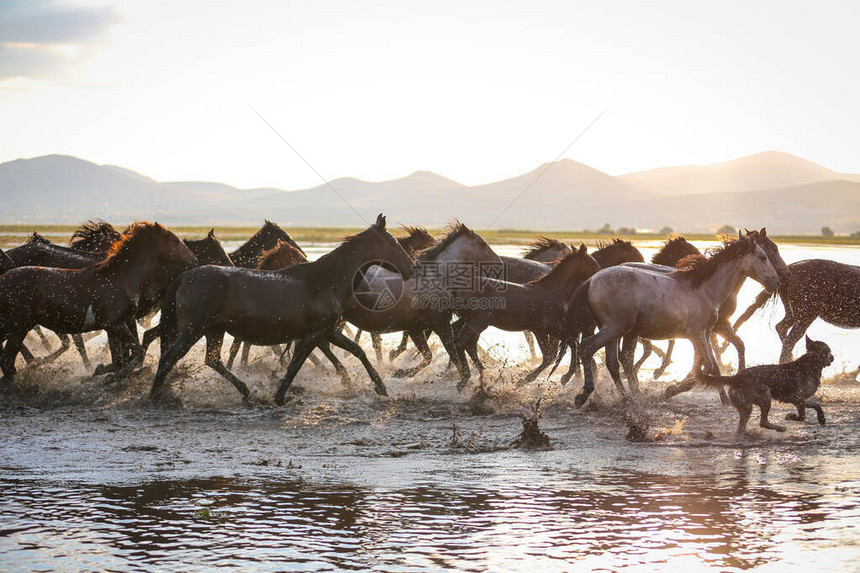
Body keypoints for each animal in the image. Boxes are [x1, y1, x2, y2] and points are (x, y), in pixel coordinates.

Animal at [0, 222, 196, 384]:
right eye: (174, 240)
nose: (194, 260)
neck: (121, 278)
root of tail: (4, 278)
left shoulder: (117, 324)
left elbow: (122, 357)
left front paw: (104, 370)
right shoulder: (116, 324)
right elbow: (134, 352)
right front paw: (114, 376)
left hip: (14, 326)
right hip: (18, 326)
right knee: (7, 360)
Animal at [700, 336, 832, 434]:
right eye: (829, 351)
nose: (833, 357)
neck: (811, 361)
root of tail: (736, 377)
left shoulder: (800, 399)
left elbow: (816, 405)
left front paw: (821, 418)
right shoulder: (796, 398)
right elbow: (802, 416)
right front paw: (790, 416)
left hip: (747, 405)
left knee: (743, 426)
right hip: (765, 396)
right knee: (762, 422)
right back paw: (779, 428)